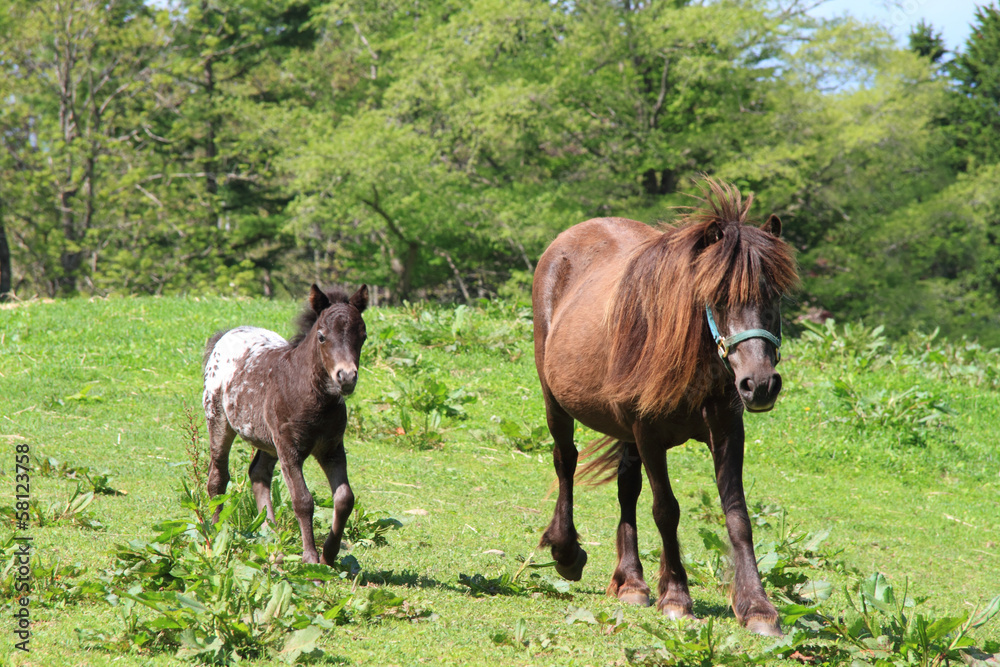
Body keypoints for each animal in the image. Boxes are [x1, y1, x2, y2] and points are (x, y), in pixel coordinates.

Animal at [201, 284, 370, 568]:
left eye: (363, 336)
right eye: (322, 337)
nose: (346, 377)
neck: (314, 398)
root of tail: (227, 334)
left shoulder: (332, 449)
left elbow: (345, 498)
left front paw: (328, 555)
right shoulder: (290, 448)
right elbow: (303, 501)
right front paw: (311, 558)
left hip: (268, 441)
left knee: (258, 474)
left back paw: (273, 543)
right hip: (219, 421)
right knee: (218, 477)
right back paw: (215, 536)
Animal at [536, 179, 800, 636]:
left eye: (775, 296)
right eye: (718, 296)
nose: (760, 384)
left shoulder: (727, 430)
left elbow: (737, 516)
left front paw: (757, 606)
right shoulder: (649, 433)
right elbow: (666, 510)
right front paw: (676, 596)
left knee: (626, 487)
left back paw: (631, 582)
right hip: (556, 399)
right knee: (565, 460)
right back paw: (567, 552)